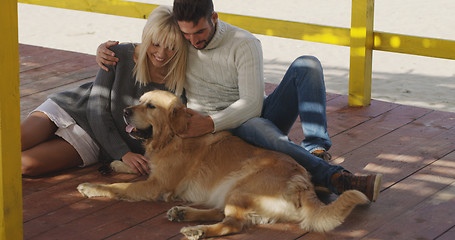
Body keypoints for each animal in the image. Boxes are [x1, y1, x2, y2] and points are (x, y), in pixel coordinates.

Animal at [77, 90, 370, 240]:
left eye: (150, 106)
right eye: (139, 100)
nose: (125, 111)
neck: (172, 135)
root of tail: (302, 182)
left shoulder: (156, 185)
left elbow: (119, 188)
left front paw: (91, 187)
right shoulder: (155, 173)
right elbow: (136, 167)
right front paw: (118, 163)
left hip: (240, 187)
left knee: (232, 224)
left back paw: (196, 229)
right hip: (230, 191)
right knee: (223, 213)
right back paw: (184, 214)